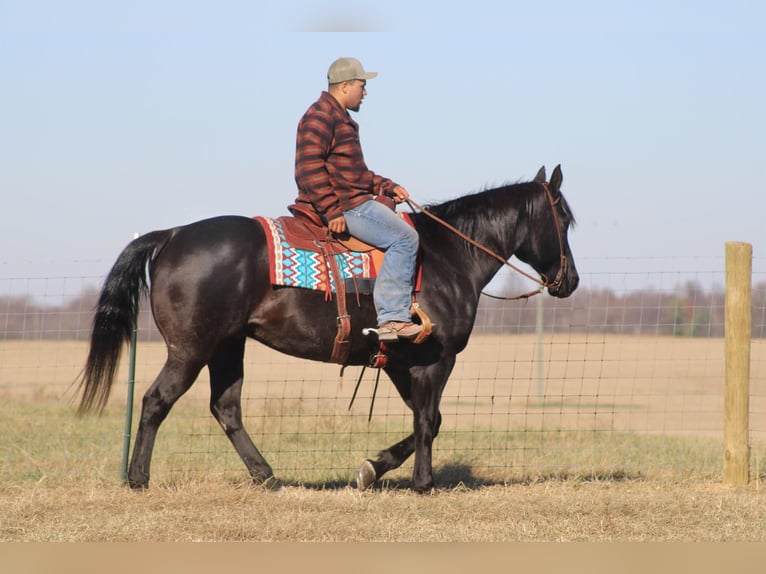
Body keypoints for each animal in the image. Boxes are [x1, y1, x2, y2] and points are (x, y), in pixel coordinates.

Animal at [79, 164, 584, 492]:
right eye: (563, 219)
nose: (571, 281)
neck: (446, 255)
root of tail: (173, 235)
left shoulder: (398, 363)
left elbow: (429, 420)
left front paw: (372, 468)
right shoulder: (435, 360)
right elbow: (428, 421)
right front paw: (422, 482)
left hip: (227, 346)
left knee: (226, 408)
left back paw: (266, 476)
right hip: (191, 349)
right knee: (156, 401)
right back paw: (138, 479)